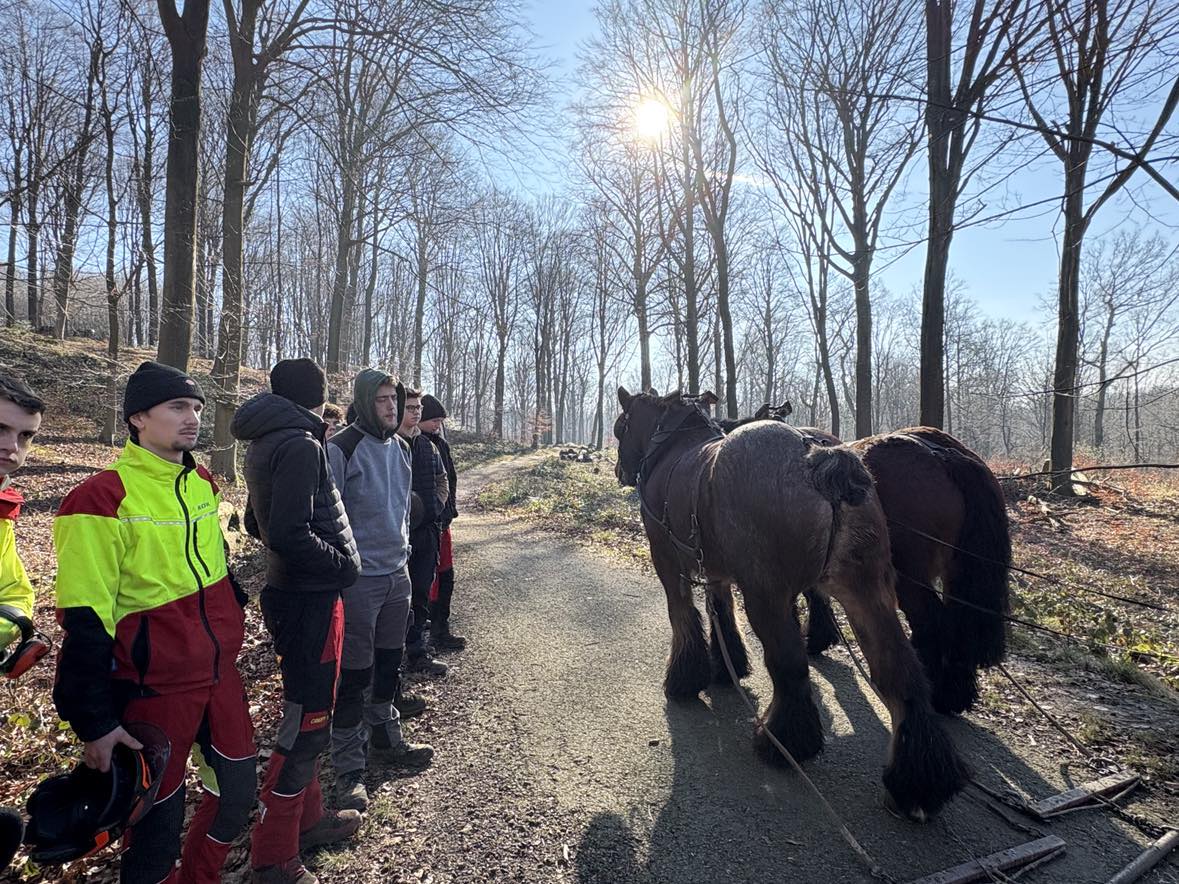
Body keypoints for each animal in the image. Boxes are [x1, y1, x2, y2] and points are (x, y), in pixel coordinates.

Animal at [613, 391, 962, 820]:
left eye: (621, 426)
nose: (620, 470)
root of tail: (817, 456)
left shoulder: (667, 561)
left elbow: (685, 618)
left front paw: (685, 677)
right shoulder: (716, 568)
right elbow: (719, 611)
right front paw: (727, 665)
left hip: (768, 595)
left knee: (790, 667)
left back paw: (783, 741)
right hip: (869, 592)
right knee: (902, 675)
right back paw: (916, 781)